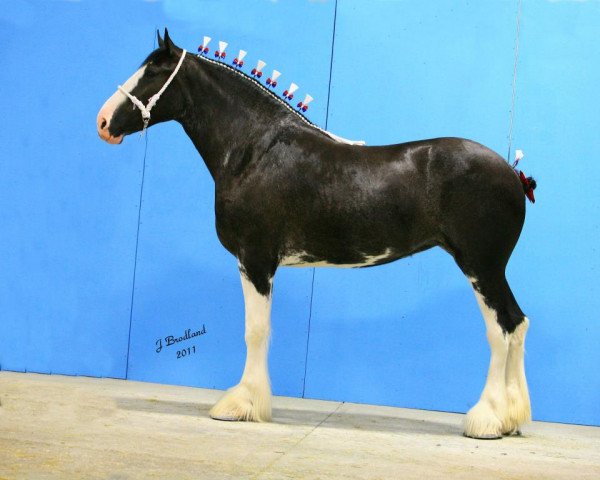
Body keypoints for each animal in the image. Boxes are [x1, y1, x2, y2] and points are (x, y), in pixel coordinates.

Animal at [97, 30, 536, 438]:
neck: (254, 149)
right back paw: (511, 420)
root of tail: (512, 175)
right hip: (490, 269)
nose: (103, 123)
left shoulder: (255, 259)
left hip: (481, 266)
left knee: (501, 329)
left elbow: (255, 331)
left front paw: (241, 405)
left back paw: (486, 420)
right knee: (517, 323)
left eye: (154, 71)